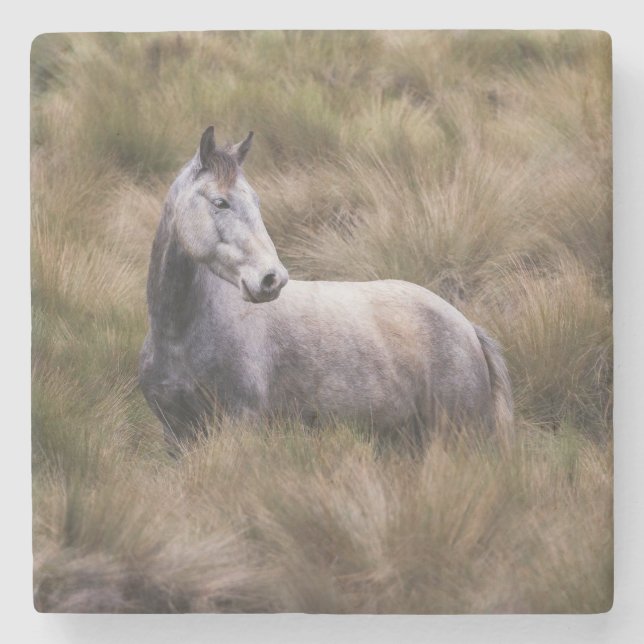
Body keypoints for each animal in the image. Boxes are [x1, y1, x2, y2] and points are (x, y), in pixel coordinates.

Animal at [139, 126, 513, 450]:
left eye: (256, 202)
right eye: (220, 202)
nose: (272, 279)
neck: (180, 335)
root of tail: (466, 327)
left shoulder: (240, 423)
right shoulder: (175, 433)